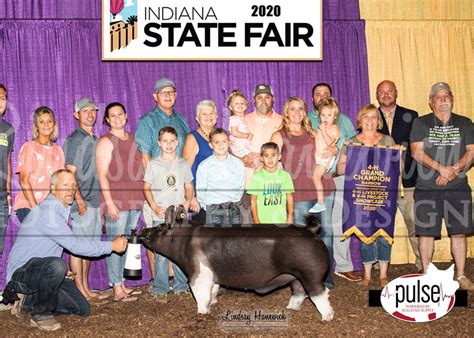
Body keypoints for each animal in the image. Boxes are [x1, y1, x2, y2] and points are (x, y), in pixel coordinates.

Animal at [140, 205, 334, 320]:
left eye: (160, 228)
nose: (141, 230)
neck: (184, 241)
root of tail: (310, 230)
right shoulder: (212, 275)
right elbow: (213, 289)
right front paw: (213, 303)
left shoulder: (198, 274)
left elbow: (200, 294)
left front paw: (202, 312)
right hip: (296, 275)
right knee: (299, 292)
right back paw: (290, 308)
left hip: (310, 273)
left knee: (320, 294)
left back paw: (327, 317)